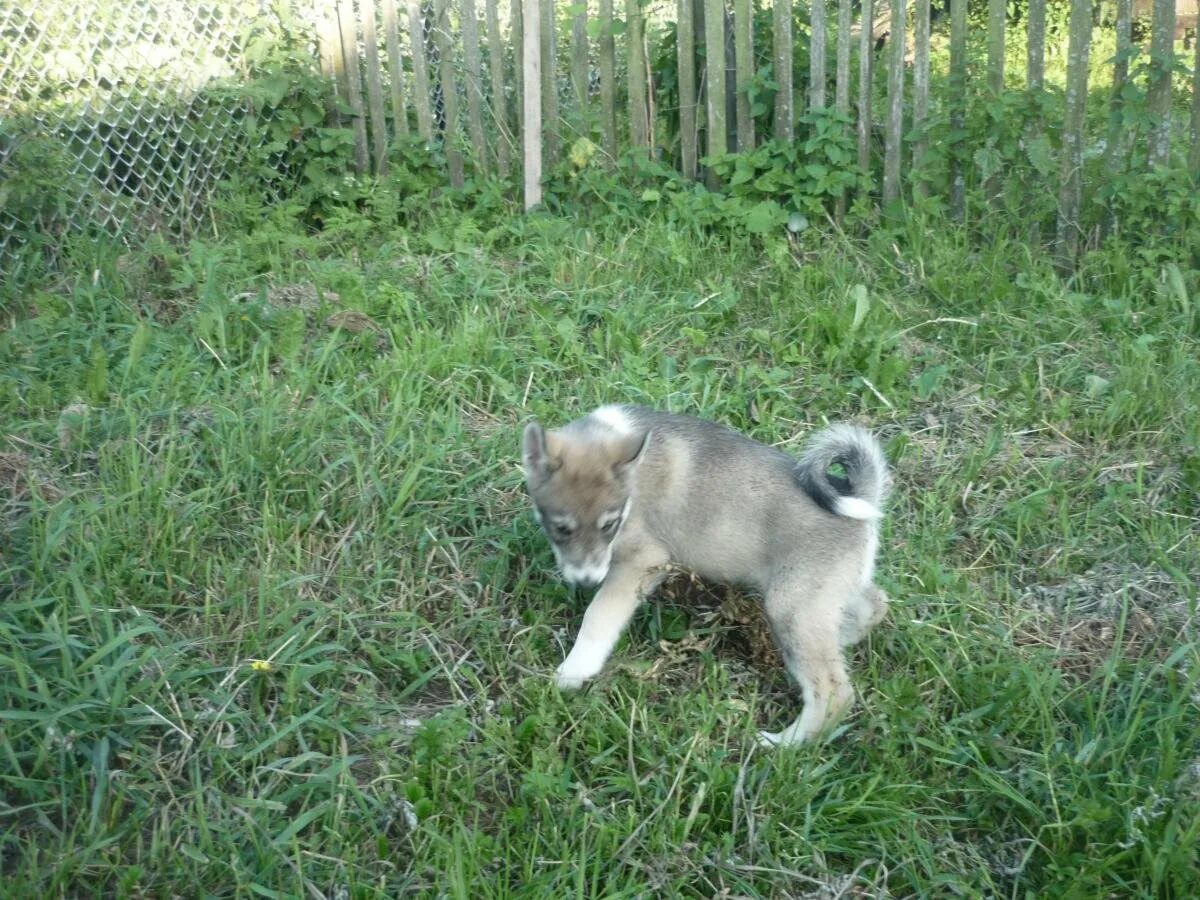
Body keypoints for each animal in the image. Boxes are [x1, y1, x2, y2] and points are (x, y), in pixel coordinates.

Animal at [518, 405, 892, 748]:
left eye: (609, 525)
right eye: (561, 529)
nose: (585, 581)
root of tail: (861, 499)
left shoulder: (644, 559)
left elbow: (599, 615)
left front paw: (575, 670)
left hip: (791, 606)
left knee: (833, 692)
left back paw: (782, 744)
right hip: (827, 593)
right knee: (875, 603)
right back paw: (843, 638)